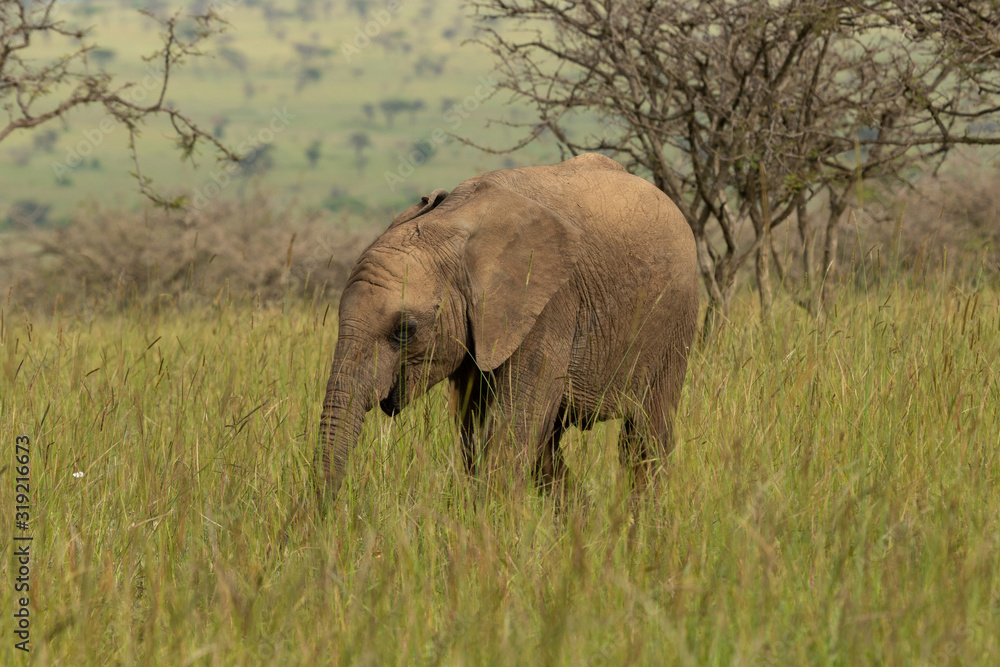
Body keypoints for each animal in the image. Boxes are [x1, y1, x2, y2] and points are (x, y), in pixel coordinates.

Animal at [315, 153, 698, 505]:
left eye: (405, 330)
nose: (332, 515)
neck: (451, 222)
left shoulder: (548, 306)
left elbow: (512, 429)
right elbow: (475, 429)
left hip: (676, 321)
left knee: (646, 437)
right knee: (550, 447)